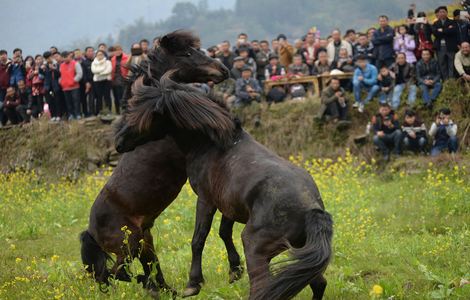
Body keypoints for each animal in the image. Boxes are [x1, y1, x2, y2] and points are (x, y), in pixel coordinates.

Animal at [114, 68, 334, 300]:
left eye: (139, 114)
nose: (118, 143)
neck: (214, 144)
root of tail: (313, 211)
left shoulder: (206, 200)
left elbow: (199, 238)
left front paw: (193, 284)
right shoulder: (228, 204)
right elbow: (223, 232)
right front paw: (234, 271)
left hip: (256, 247)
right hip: (299, 251)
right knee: (319, 283)